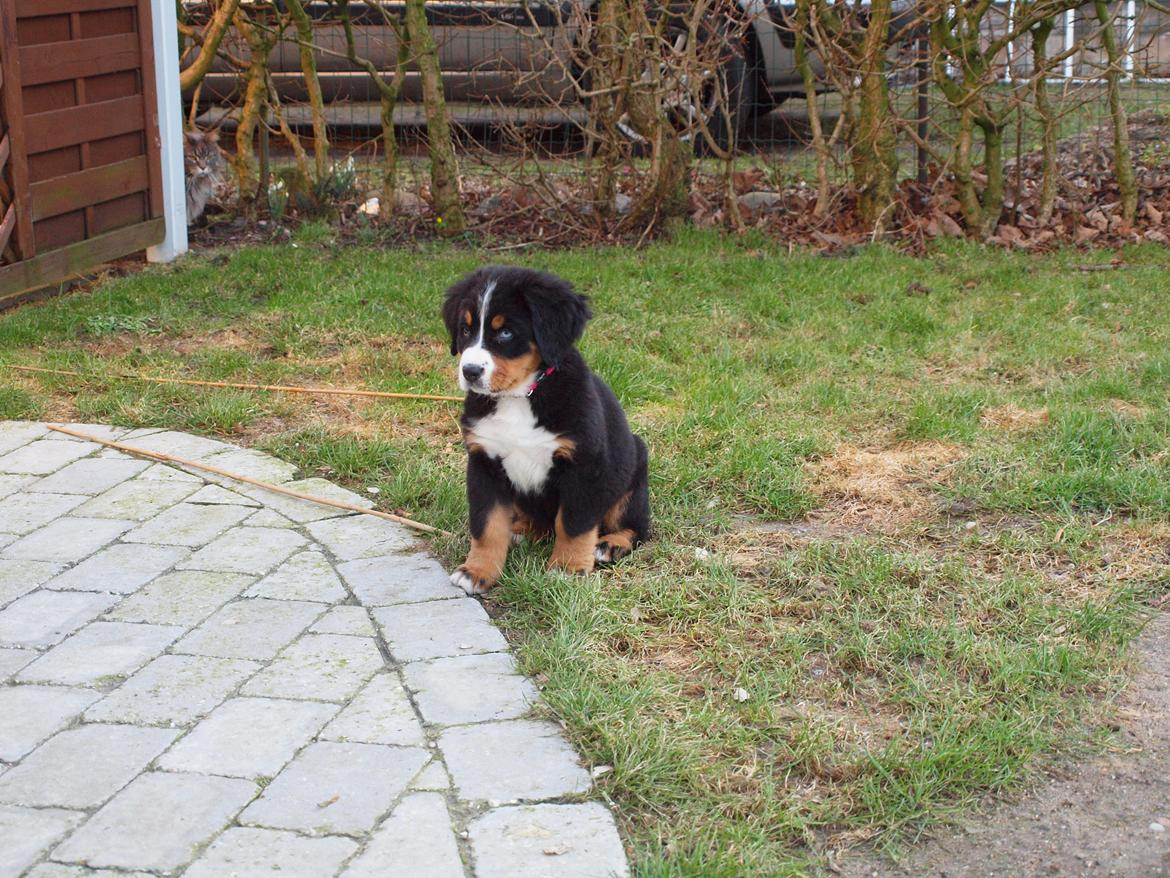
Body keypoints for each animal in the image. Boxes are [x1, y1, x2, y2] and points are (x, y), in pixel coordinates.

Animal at [442, 268, 655, 599]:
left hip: (631, 478)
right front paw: (478, 571)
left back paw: (610, 545)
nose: (470, 371)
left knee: (638, 527)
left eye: (505, 333)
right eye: (465, 330)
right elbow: (487, 526)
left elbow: (573, 523)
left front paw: (567, 567)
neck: (520, 396)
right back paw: (519, 532)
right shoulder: (484, 462)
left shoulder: (585, 465)